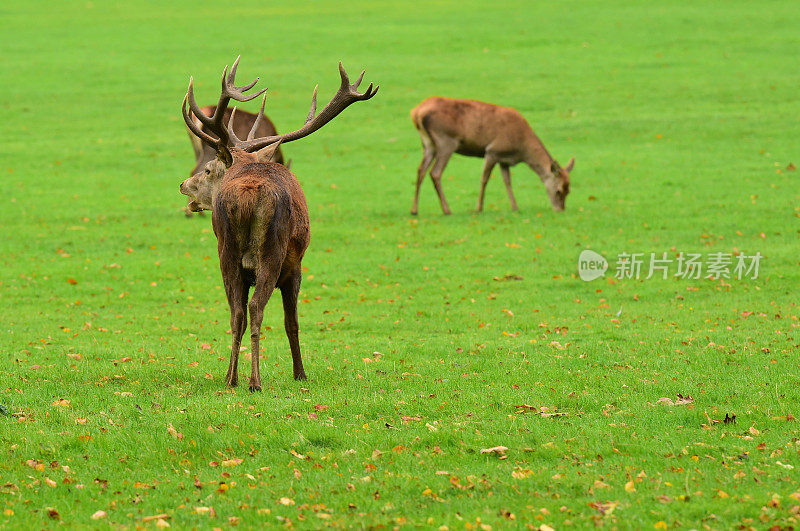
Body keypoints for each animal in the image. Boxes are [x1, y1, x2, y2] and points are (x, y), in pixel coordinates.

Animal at [180, 58, 378, 390]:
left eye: (208, 170)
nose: (183, 185)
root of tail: (248, 195)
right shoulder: (294, 267)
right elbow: (291, 322)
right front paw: (300, 373)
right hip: (273, 252)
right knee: (256, 308)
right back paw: (255, 381)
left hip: (227, 252)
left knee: (237, 312)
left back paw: (232, 378)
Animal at [412, 97, 576, 216]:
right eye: (559, 190)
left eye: (569, 190)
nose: (560, 210)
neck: (522, 147)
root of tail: (416, 112)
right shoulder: (492, 151)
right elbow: (484, 179)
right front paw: (479, 208)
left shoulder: (504, 160)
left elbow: (507, 181)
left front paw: (515, 207)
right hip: (446, 141)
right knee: (435, 172)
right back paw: (447, 210)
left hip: (428, 145)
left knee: (421, 170)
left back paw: (414, 210)